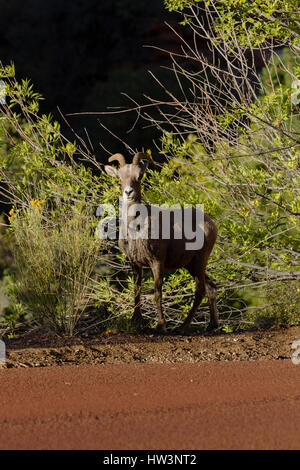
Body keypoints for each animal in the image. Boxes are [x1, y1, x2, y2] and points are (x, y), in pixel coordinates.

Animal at [105, 152, 218, 332]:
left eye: (139, 176)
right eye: (119, 177)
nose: (128, 192)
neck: (136, 229)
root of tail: (211, 225)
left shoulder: (157, 262)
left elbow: (157, 292)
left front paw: (160, 326)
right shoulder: (135, 263)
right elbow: (137, 289)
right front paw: (136, 320)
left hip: (200, 260)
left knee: (200, 290)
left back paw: (182, 327)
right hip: (191, 264)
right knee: (210, 288)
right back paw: (211, 326)